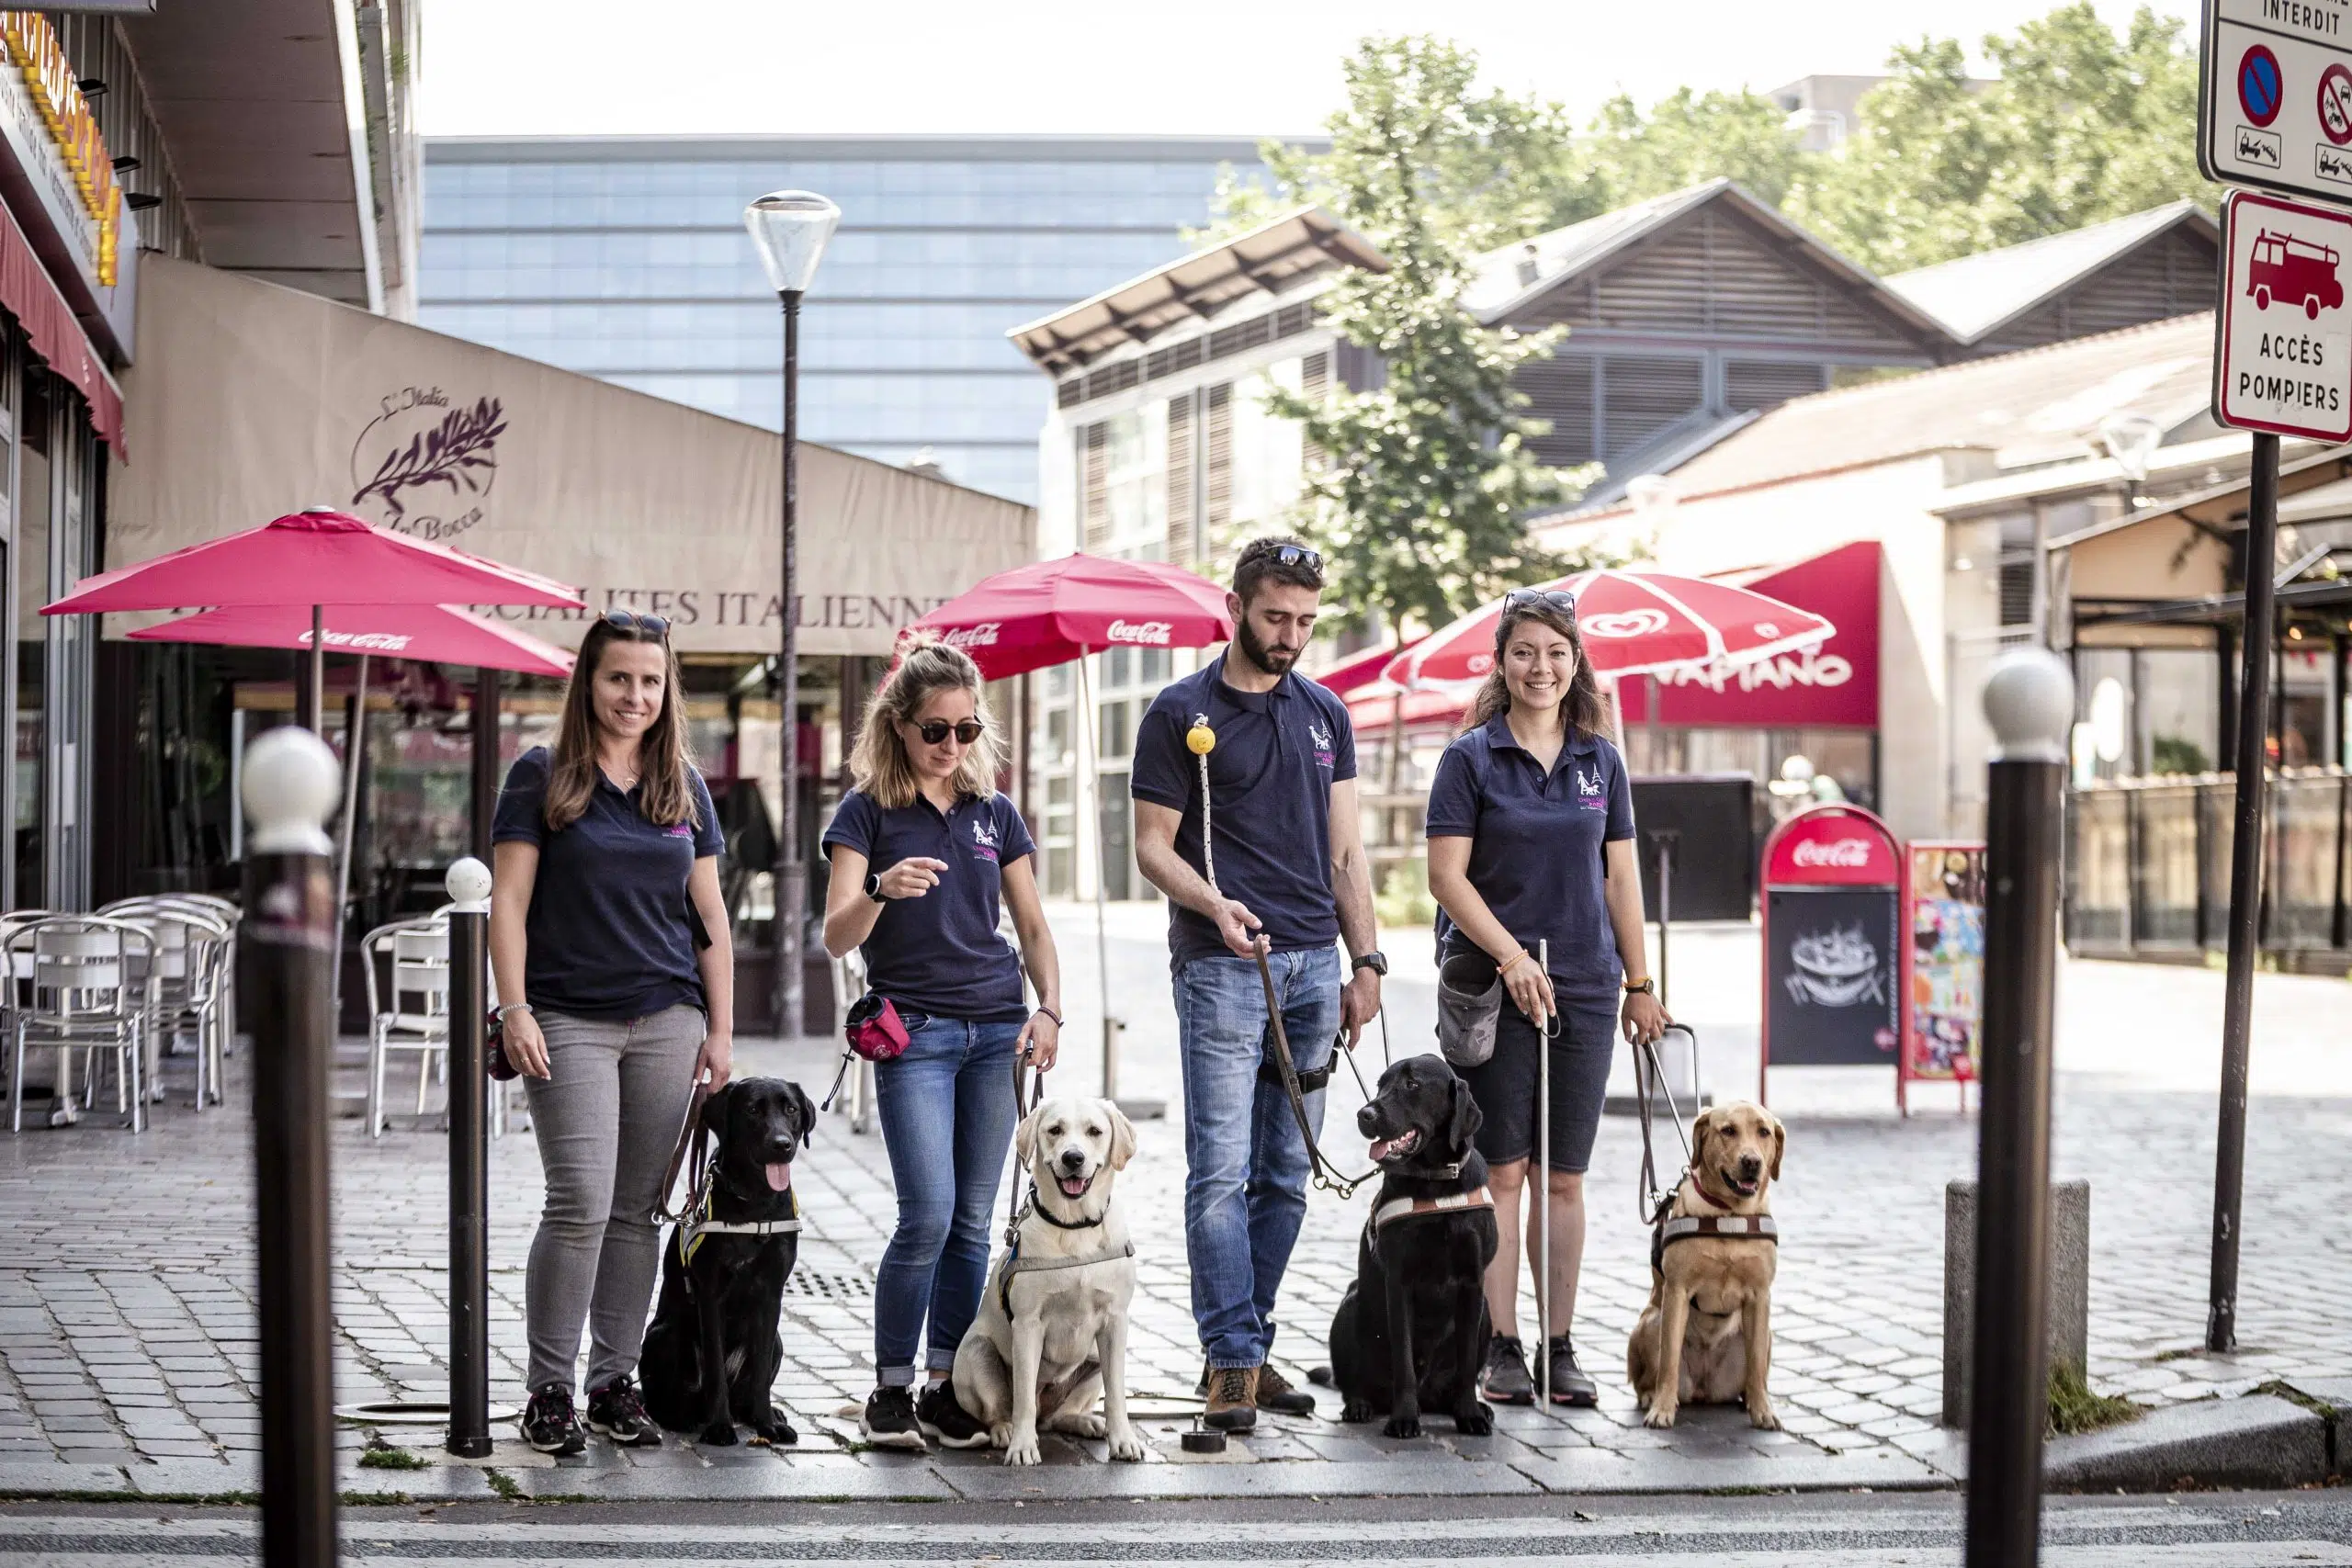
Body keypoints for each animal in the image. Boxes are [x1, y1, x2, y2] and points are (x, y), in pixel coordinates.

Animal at [639, 1081, 813, 1448]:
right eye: (752, 1110)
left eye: (791, 1110)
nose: (783, 1145)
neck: (757, 1202)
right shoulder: (710, 1296)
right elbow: (716, 1371)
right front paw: (719, 1428)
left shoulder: (772, 1296)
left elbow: (760, 1374)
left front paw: (766, 1424)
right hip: (664, 1335)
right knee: (665, 1397)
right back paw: (683, 1417)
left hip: (778, 1342)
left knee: (745, 1392)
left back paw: (762, 1414)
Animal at [1326, 1048, 1486, 1438]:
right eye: (1381, 1084)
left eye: (1412, 1084)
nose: (1365, 1114)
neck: (1435, 1183)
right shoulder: (1399, 1284)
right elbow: (1404, 1359)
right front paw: (1404, 1418)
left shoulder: (1474, 1284)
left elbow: (1467, 1360)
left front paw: (1470, 1413)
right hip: (1351, 1304)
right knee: (1354, 1382)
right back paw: (1361, 1405)